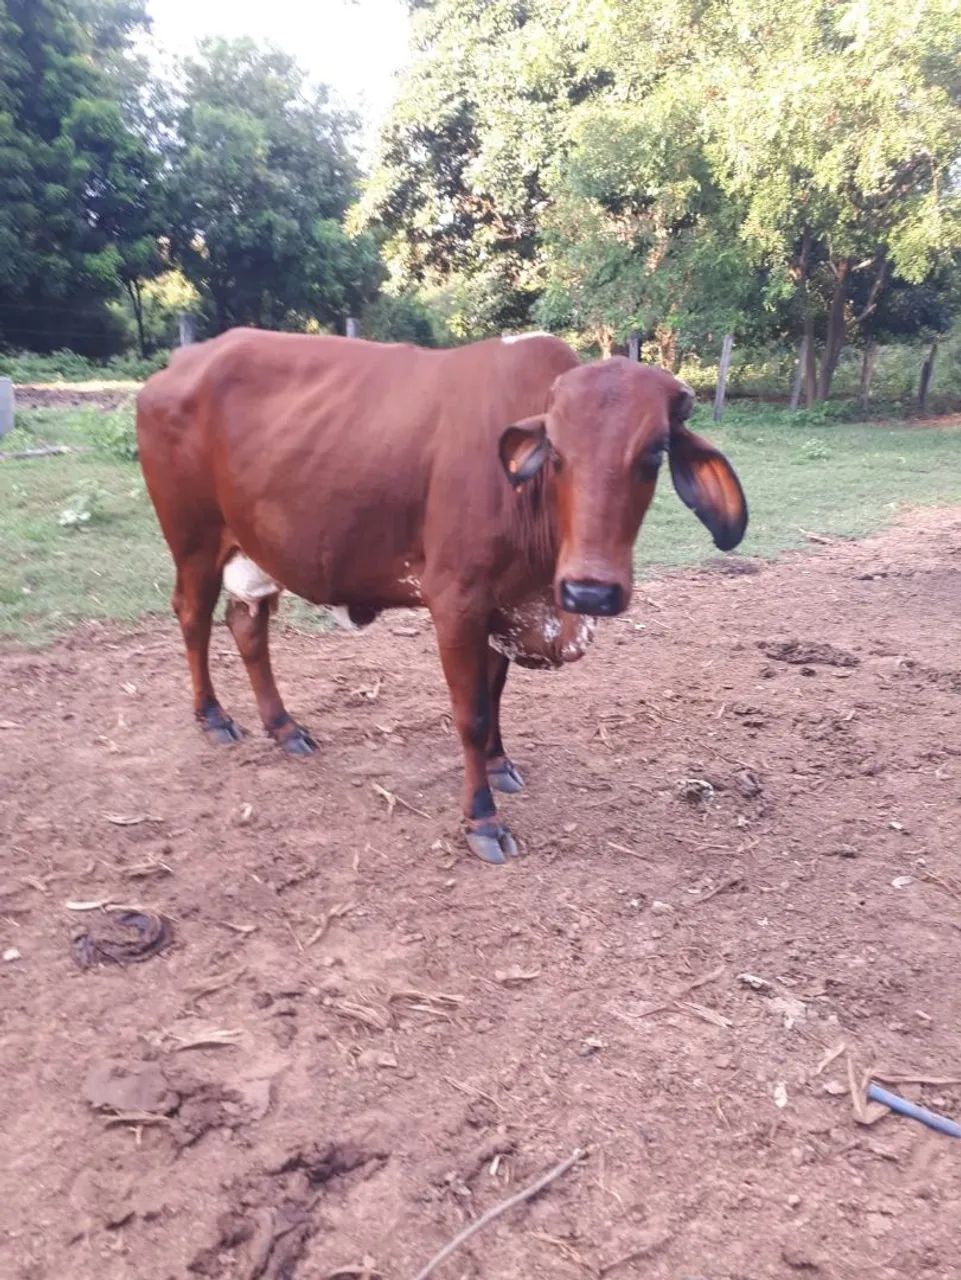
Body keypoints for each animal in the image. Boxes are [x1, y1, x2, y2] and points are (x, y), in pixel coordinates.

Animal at [136, 329, 747, 863]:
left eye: (654, 453)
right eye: (556, 454)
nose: (589, 591)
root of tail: (180, 363)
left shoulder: (503, 608)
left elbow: (495, 695)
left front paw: (499, 764)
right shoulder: (457, 603)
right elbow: (470, 712)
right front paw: (482, 818)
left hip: (253, 550)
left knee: (247, 625)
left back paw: (284, 727)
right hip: (194, 542)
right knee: (192, 616)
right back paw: (212, 716)